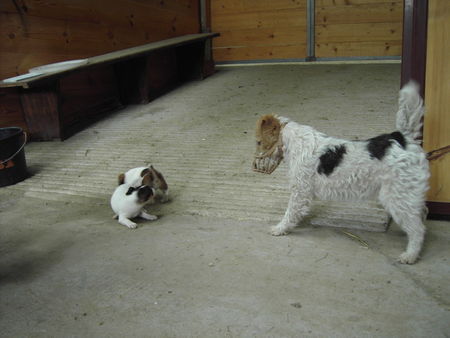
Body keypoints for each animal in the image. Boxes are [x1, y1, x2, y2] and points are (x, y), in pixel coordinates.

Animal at [253, 82, 428, 264]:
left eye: (258, 141)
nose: (256, 165)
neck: (293, 141)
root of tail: (404, 139)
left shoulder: (300, 190)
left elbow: (290, 212)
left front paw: (279, 228)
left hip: (397, 196)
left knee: (418, 229)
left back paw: (410, 255)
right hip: (408, 195)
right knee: (421, 216)